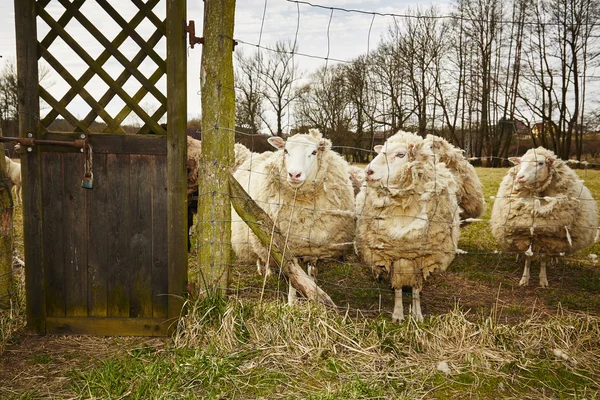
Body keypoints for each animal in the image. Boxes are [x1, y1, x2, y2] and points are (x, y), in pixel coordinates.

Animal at [231, 128, 356, 304]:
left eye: (314, 152)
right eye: (286, 151)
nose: (294, 174)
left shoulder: (314, 245)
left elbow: (311, 272)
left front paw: (313, 291)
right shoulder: (288, 245)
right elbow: (293, 275)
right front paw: (292, 301)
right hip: (253, 229)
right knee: (260, 256)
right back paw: (265, 271)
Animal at [354, 131, 462, 322]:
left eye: (401, 154)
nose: (368, 171)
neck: (404, 204)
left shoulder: (422, 255)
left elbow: (416, 288)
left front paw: (417, 314)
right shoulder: (395, 252)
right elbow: (397, 287)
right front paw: (398, 314)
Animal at [490, 147, 596, 288]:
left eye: (540, 163)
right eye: (521, 162)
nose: (519, 177)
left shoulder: (546, 235)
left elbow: (543, 258)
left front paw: (543, 280)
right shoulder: (527, 234)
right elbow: (528, 257)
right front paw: (524, 279)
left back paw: (554, 259)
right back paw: (519, 257)